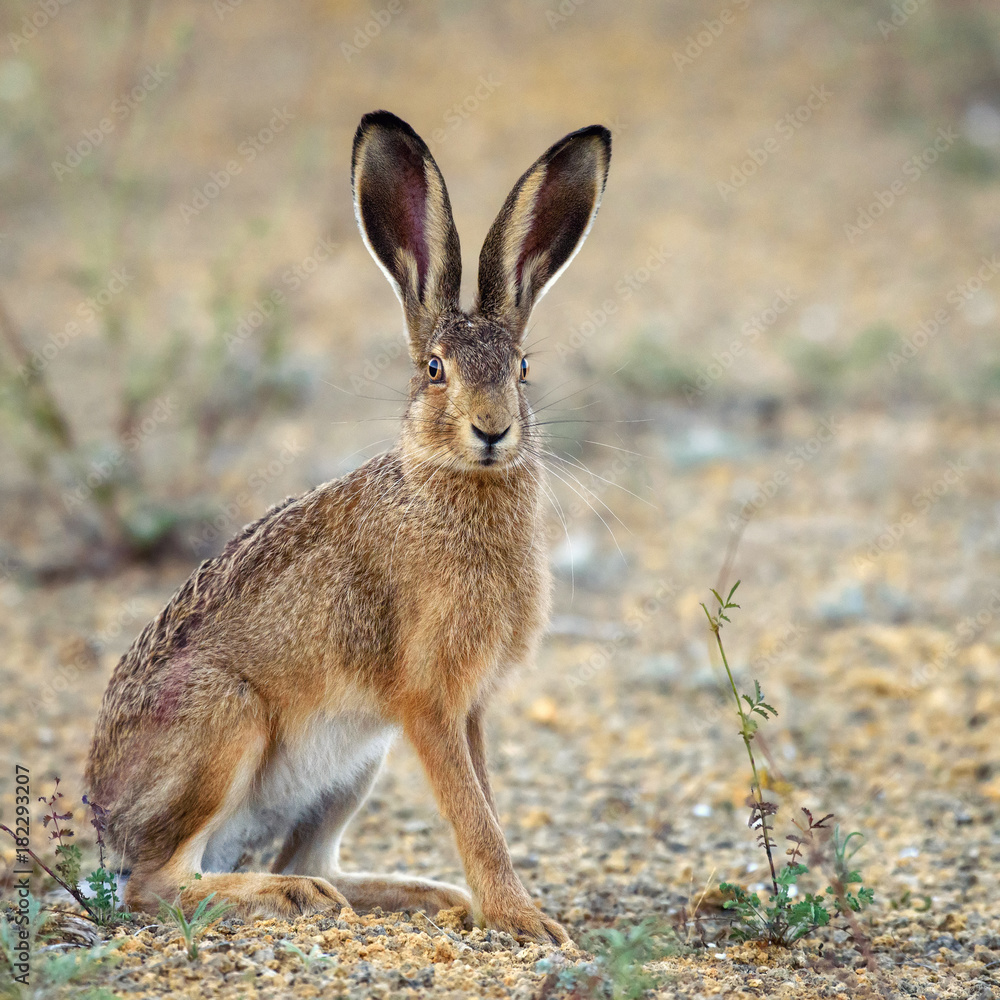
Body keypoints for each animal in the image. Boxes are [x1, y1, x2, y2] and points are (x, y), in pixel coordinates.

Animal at [85, 110, 610, 944]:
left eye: (523, 370)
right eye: (434, 370)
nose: (492, 431)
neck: (451, 487)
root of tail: (107, 820)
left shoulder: (469, 709)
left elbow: (486, 805)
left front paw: (504, 910)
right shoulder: (429, 702)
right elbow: (476, 817)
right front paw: (523, 921)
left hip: (358, 760)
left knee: (307, 858)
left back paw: (418, 896)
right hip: (223, 724)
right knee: (158, 883)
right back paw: (288, 898)